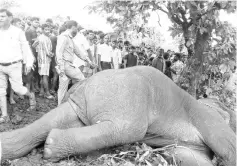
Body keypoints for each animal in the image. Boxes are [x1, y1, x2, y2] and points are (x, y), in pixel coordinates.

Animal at [0, 65, 235, 165]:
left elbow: (185, 156)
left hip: (94, 97)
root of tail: (87, 80)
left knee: (62, 116)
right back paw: (51, 147)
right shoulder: (209, 119)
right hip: (130, 94)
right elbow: (230, 149)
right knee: (126, 130)